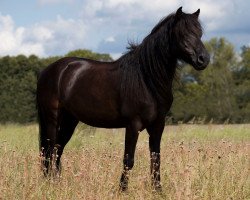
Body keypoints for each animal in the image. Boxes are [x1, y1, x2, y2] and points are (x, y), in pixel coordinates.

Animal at [36, 6, 209, 191]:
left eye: (199, 33)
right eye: (182, 33)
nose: (203, 59)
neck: (146, 79)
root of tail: (48, 71)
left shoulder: (158, 125)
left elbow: (156, 159)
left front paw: (158, 190)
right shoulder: (133, 125)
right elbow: (128, 160)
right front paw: (122, 190)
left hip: (70, 120)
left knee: (57, 150)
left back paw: (56, 184)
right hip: (52, 119)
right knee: (49, 151)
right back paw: (50, 185)